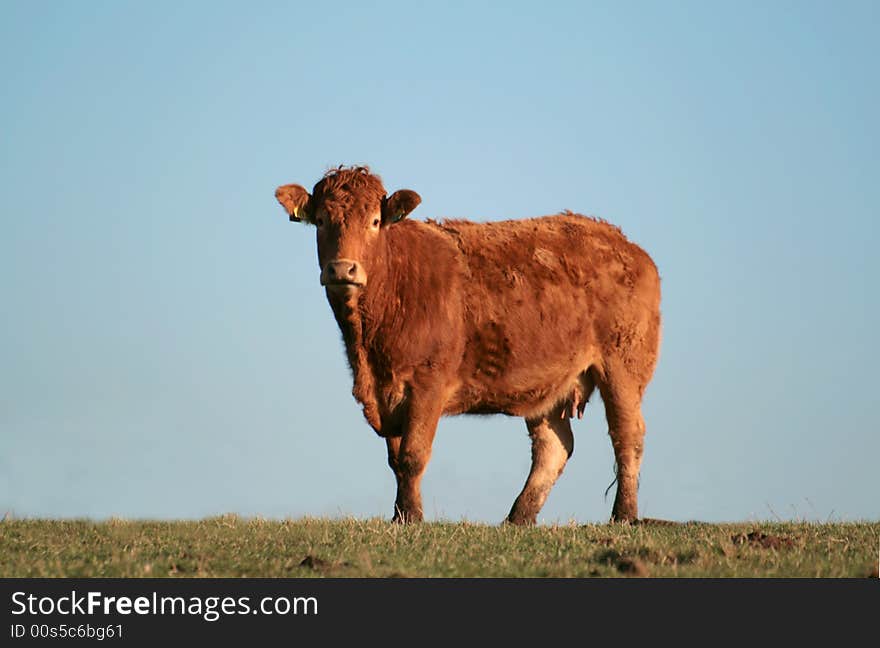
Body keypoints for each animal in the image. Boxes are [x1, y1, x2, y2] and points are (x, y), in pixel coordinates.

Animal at [276, 167, 660, 528]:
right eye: (321, 221)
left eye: (374, 221)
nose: (342, 269)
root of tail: (624, 243)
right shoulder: (387, 393)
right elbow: (395, 459)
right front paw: (399, 515)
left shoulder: (427, 385)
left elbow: (413, 455)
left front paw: (411, 516)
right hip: (549, 382)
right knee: (554, 447)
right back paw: (518, 517)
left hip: (623, 366)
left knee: (627, 436)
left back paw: (624, 514)